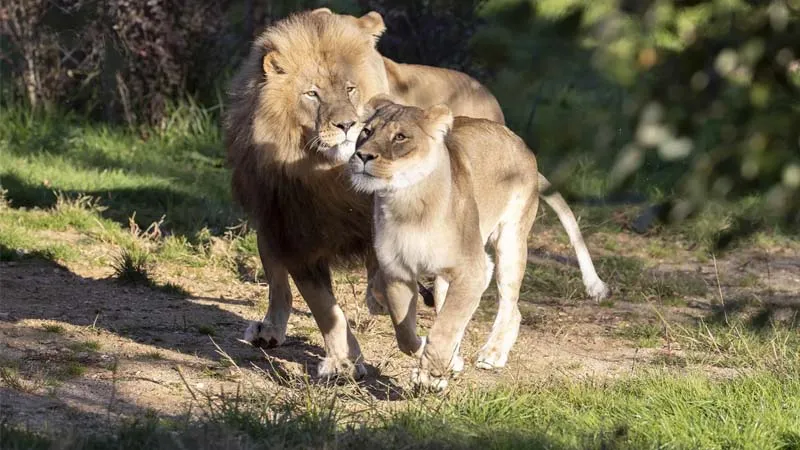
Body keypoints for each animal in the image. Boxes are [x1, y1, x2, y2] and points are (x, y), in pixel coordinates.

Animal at [348, 97, 542, 390]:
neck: (408, 203)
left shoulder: (473, 270)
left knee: (511, 306)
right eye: (367, 132)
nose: (363, 155)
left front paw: (432, 373)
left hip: (510, 243)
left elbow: (446, 326)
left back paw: (493, 353)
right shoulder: (397, 272)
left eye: (400, 137)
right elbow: (405, 333)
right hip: (443, 280)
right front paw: (430, 357)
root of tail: (517, 138)